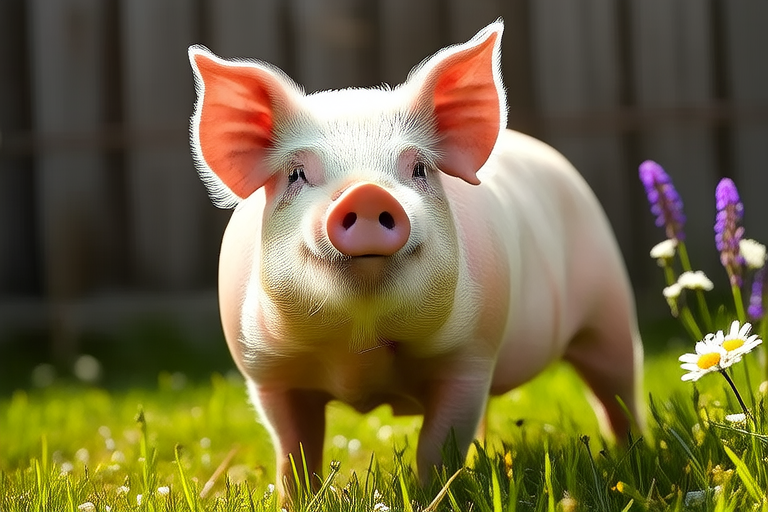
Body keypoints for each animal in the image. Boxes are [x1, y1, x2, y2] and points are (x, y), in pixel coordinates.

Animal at [188, 21, 643, 491]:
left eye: (419, 169)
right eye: (296, 174)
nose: (367, 192)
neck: (360, 346)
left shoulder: (470, 360)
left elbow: (438, 445)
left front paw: (431, 494)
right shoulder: (267, 374)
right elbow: (293, 452)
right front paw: (296, 499)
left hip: (610, 309)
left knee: (619, 388)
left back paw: (634, 453)